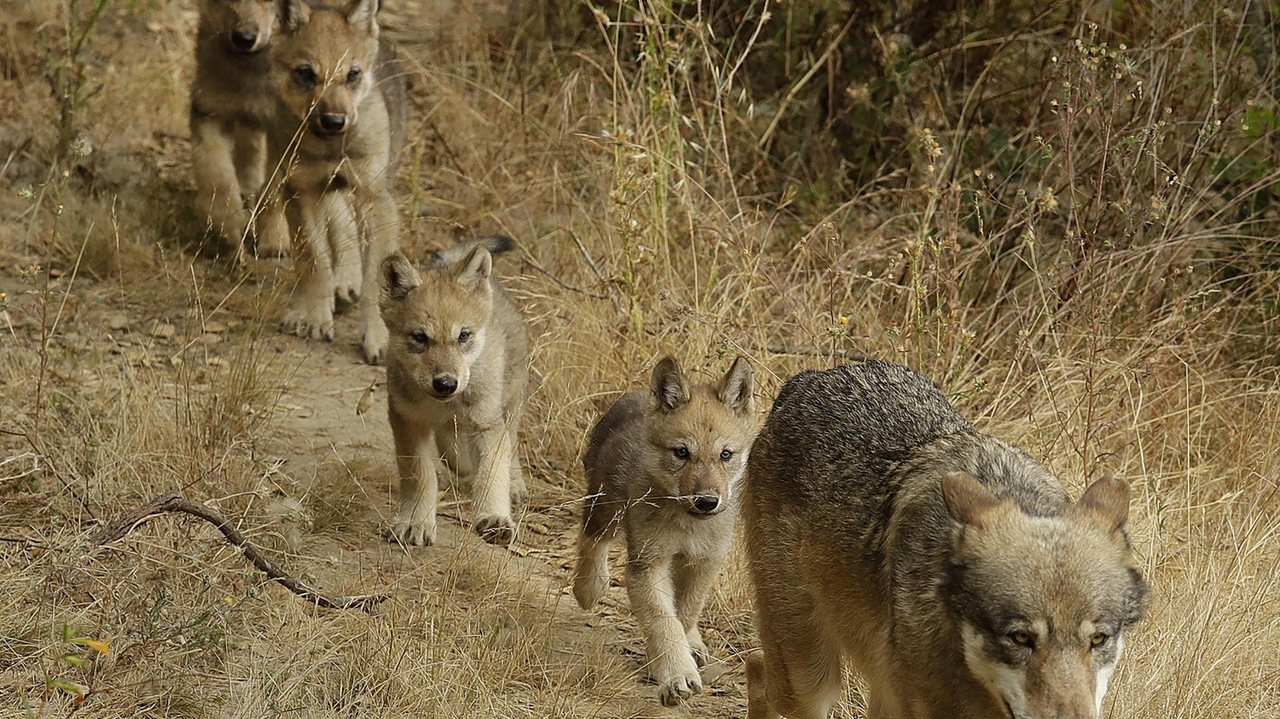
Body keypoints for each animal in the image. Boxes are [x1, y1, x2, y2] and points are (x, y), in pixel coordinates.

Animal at [189, 0, 293, 258]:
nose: (244, 38)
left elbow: (275, 191)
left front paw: (275, 240)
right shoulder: (210, 111)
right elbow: (217, 176)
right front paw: (227, 226)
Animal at [268, 0, 407, 364]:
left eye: (352, 74)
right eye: (306, 73)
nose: (334, 121)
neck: (330, 149)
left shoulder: (376, 199)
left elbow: (375, 281)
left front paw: (379, 338)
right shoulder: (300, 191)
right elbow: (313, 259)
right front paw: (315, 318)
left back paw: (346, 285)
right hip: (318, 189)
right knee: (340, 225)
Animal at [378, 236, 530, 546]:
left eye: (463, 336)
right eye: (419, 337)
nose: (446, 383)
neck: (444, 406)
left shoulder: (488, 424)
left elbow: (492, 473)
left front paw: (495, 518)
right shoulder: (407, 421)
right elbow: (420, 476)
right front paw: (415, 521)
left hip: (509, 407)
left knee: (511, 444)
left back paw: (516, 483)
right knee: (458, 456)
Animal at [573, 355, 756, 707]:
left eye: (725, 455)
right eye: (681, 452)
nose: (707, 501)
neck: (688, 526)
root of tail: (635, 394)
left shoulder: (704, 562)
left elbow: (685, 614)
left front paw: (673, 661)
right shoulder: (647, 564)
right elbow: (664, 621)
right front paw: (676, 676)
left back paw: (695, 646)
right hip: (606, 508)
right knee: (591, 540)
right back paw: (588, 588)